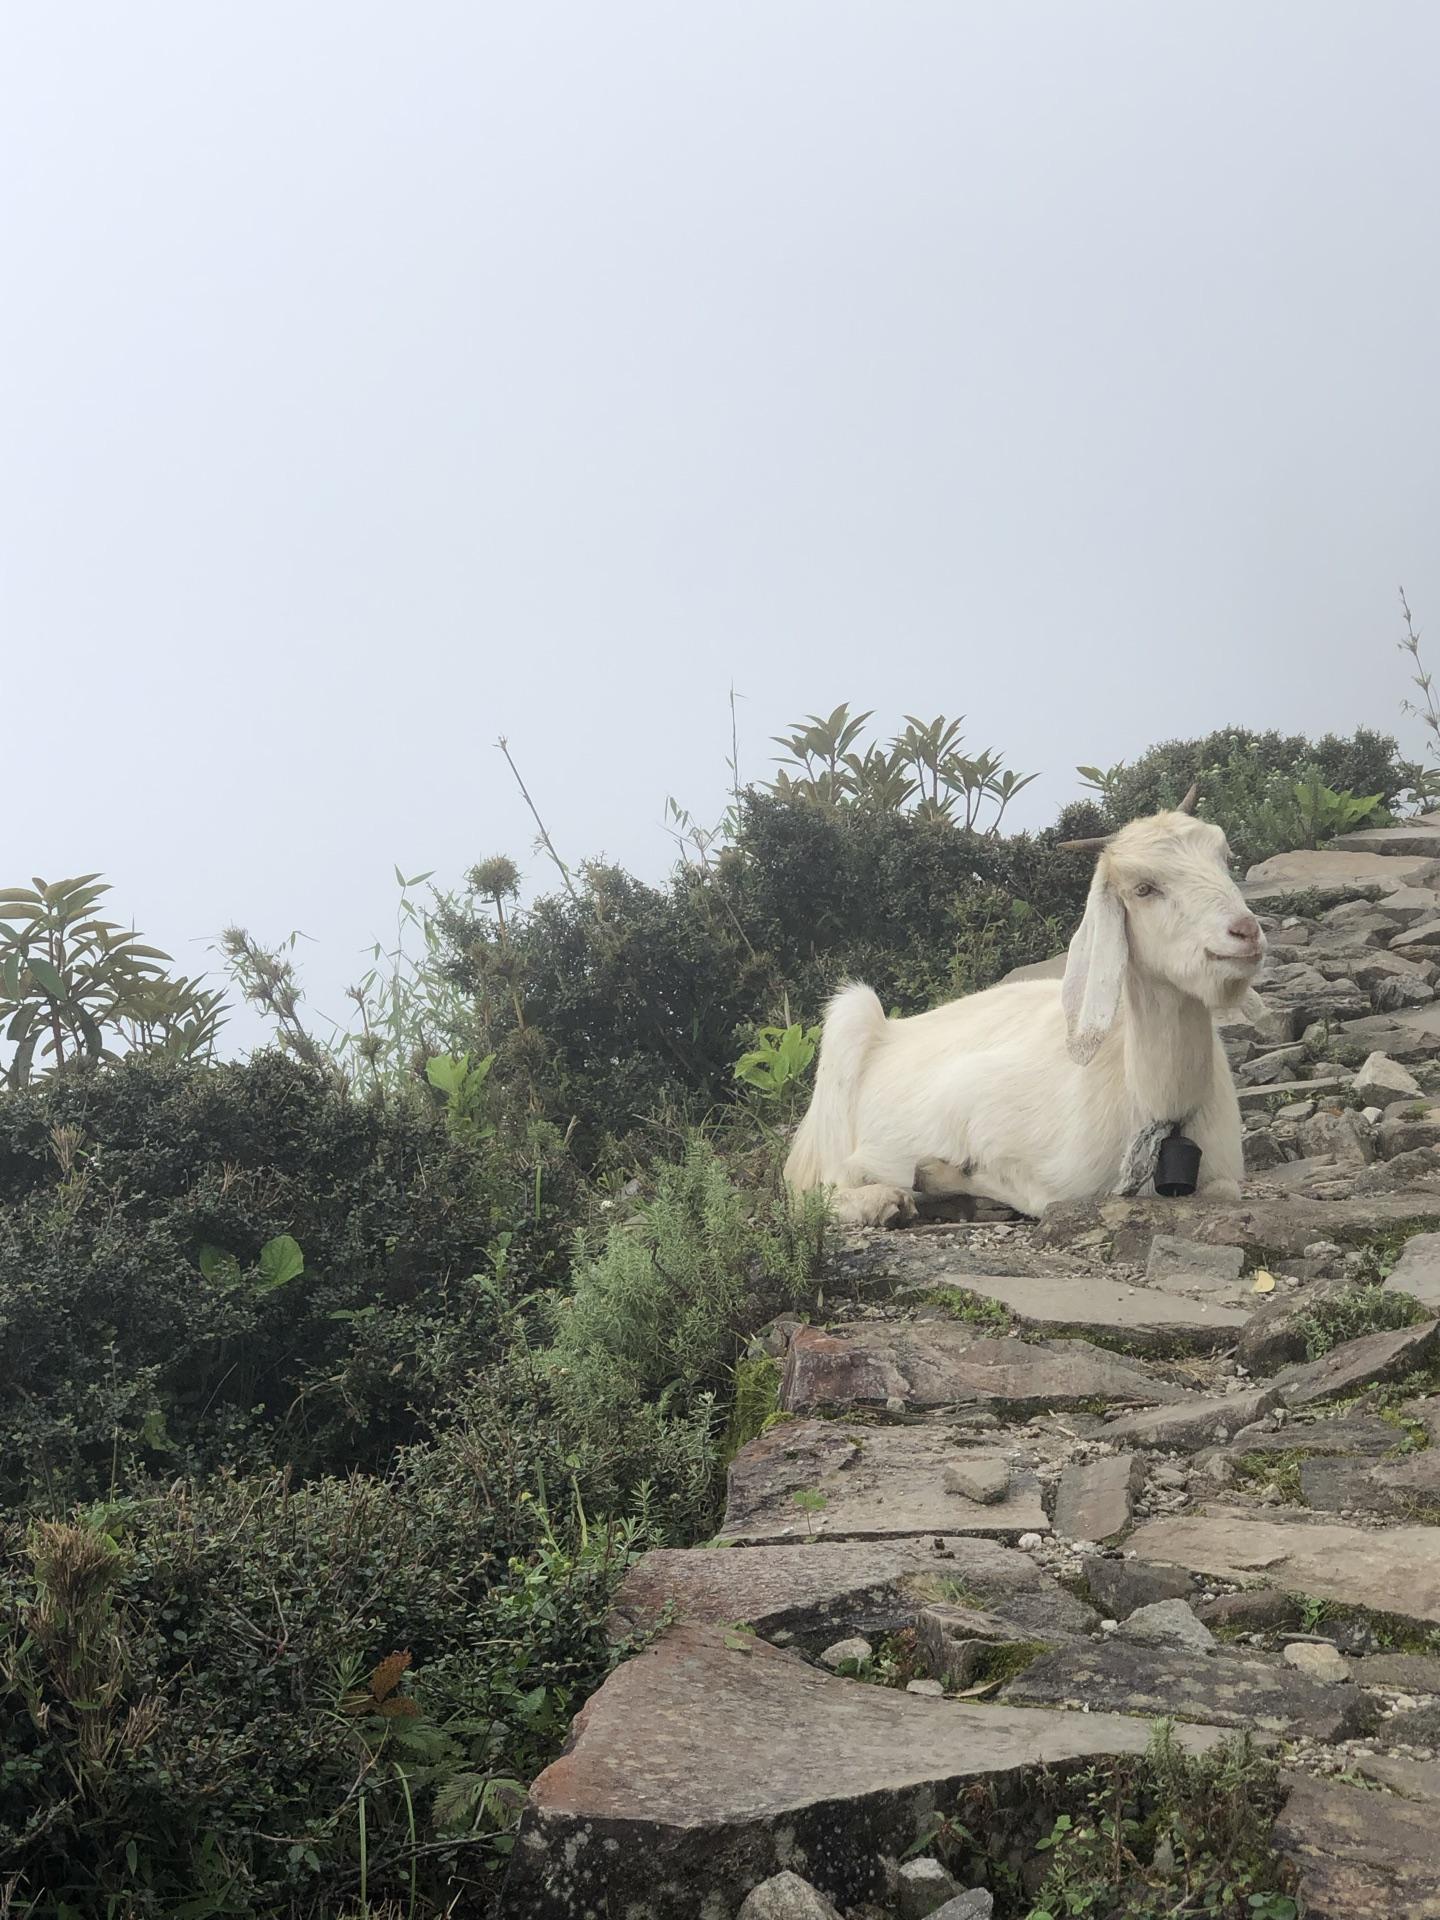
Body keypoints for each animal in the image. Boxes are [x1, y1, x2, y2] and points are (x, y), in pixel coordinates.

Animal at [784, 788, 1266, 1226]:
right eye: (1144, 888)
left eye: (1223, 856)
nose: (1244, 932)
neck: (1161, 1110)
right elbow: (1038, 1195)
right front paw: (940, 1177)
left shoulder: (1223, 1176)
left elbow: (1224, 1191)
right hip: (848, 1024)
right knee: (813, 1192)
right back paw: (883, 1200)